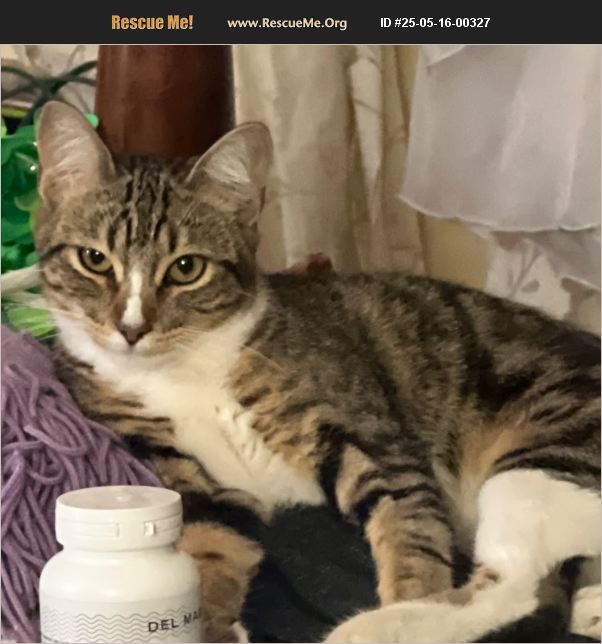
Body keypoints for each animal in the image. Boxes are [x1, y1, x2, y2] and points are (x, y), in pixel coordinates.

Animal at [34, 100, 601, 643]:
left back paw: (370, 630)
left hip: (546, 452)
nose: (132, 328)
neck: (184, 371)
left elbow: (412, 538)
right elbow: (211, 545)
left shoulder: (380, 445)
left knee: (523, 589)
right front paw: (211, 625)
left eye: (186, 268)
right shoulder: (189, 479)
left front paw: (407, 590)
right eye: (93, 259)